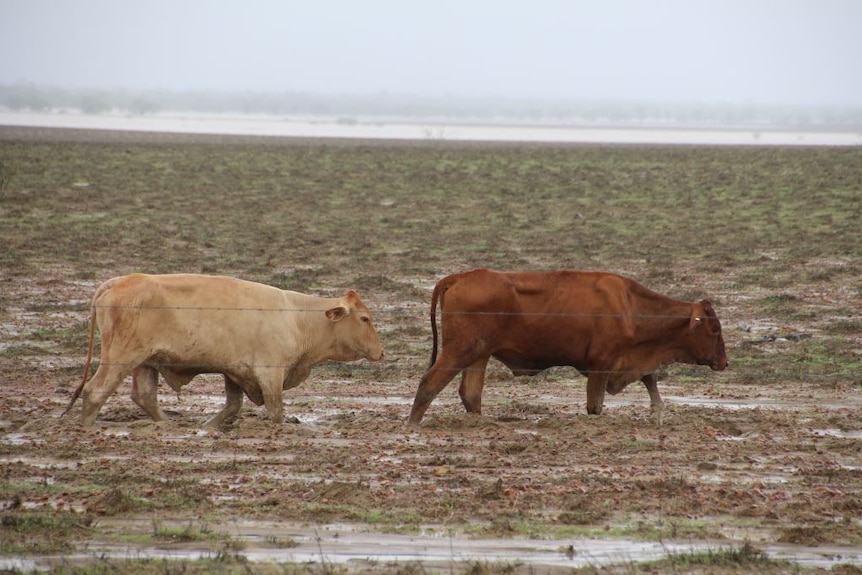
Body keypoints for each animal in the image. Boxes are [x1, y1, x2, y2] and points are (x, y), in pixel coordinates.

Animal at [62, 274, 384, 428]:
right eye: (364, 318)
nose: (381, 352)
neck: (297, 317)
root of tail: (122, 280)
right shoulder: (270, 374)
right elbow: (275, 411)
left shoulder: (235, 371)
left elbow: (232, 405)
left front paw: (207, 427)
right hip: (121, 356)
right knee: (96, 391)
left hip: (146, 362)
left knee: (144, 396)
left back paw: (166, 425)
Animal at [410, 268, 728, 424]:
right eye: (714, 329)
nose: (724, 363)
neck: (629, 305)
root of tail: (458, 277)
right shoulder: (601, 366)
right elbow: (595, 405)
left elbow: (651, 381)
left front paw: (658, 413)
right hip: (460, 350)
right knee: (429, 383)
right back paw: (413, 424)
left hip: (479, 354)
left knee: (471, 394)